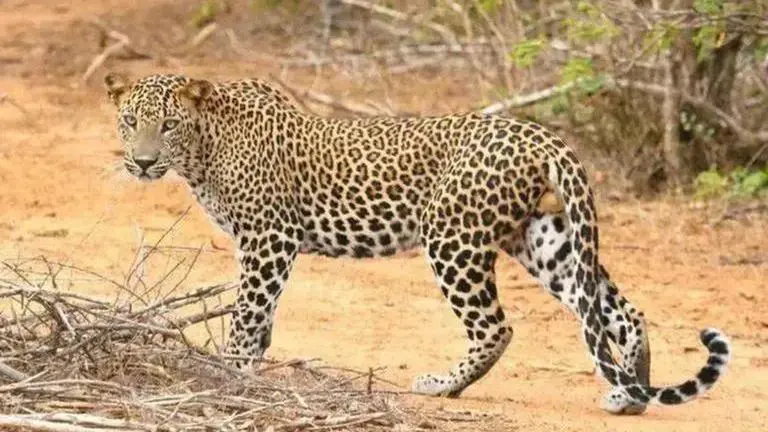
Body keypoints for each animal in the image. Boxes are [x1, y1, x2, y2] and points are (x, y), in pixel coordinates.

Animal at [104, 72, 731, 414]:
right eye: (129, 121)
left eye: (168, 126)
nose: (143, 161)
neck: (203, 149)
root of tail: (539, 133)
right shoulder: (267, 244)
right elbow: (261, 319)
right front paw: (248, 370)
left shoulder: (269, 238)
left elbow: (247, 313)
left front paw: (230, 373)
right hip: (543, 238)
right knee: (616, 310)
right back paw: (631, 393)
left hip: (452, 236)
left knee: (497, 327)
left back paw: (441, 386)